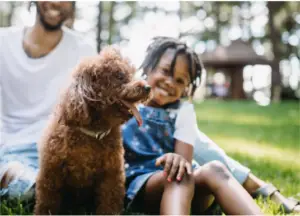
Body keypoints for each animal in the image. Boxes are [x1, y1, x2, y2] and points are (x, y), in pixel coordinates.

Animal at [34, 46, 151, 215]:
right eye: (120, 76)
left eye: (131, 73)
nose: (148, 88)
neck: (93, 132)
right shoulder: (51, 171)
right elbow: (47, 201)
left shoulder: (111, 174)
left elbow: (109, 201)